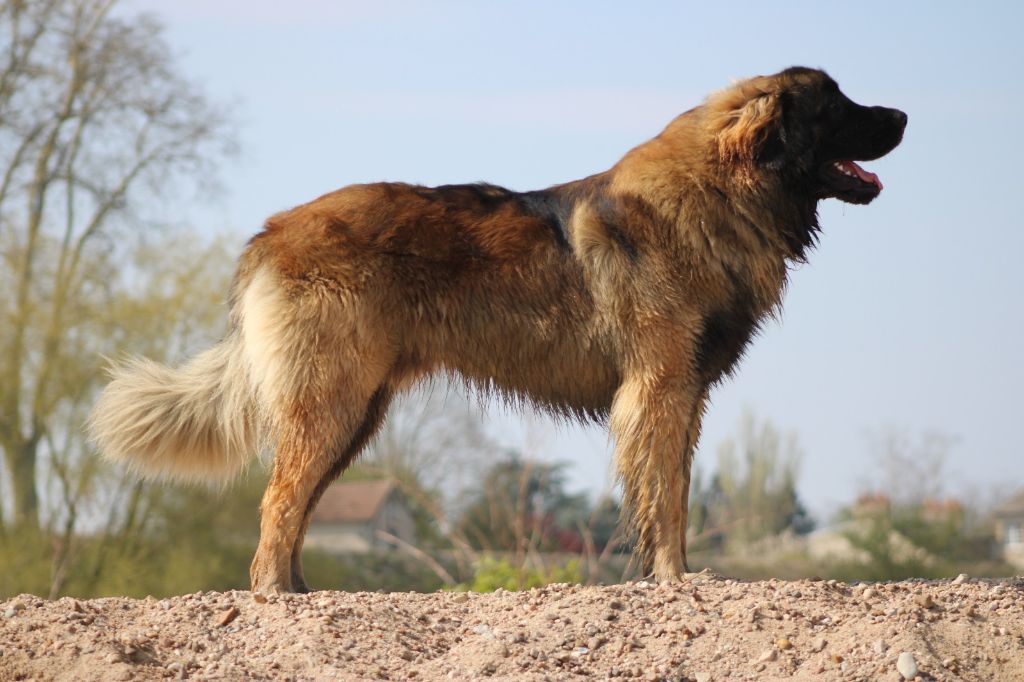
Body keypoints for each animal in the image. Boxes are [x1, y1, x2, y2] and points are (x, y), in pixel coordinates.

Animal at [88, 66, 905, 593]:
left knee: (293, 505)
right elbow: (667, 497)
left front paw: (660, 576)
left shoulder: (681, 394)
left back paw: (301, 590)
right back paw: (276, 598)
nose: (902, 118)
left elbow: (663, 489)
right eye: (834, 103)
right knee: (278, 502)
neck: (721, 190)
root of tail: (272, 231)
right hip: (331, 400)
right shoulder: (660, 385)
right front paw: (674, 579)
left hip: (354, 411)